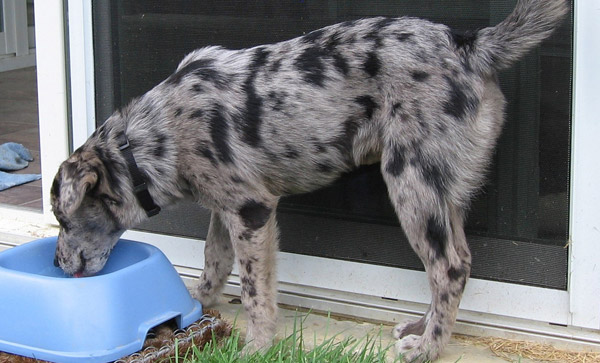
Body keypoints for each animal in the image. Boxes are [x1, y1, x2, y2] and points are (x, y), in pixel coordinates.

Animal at [51, 0, 568, 362]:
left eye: (63, 218)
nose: (56, 265)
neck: (149, 139)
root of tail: (469, 44)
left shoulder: (251, 211)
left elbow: (255, 290)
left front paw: (256, 346)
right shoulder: (224, 209)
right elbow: (214, 261)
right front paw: (196, 299)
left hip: (411, 182)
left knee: (450, 267)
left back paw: (428, 348)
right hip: (443, 192)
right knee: (456, 262)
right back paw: (419, 330)